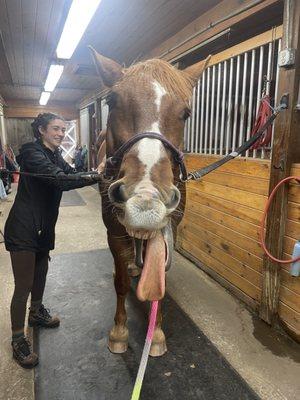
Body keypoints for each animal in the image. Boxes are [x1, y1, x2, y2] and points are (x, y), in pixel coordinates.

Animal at [90, 47, 210, 356]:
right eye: (111, 101)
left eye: (185, 113)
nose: (145, 199)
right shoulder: (114, 233)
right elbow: (120, 283)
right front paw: (119, 331)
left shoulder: (168, 230)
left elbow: (159, 281)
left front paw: (155, 333)